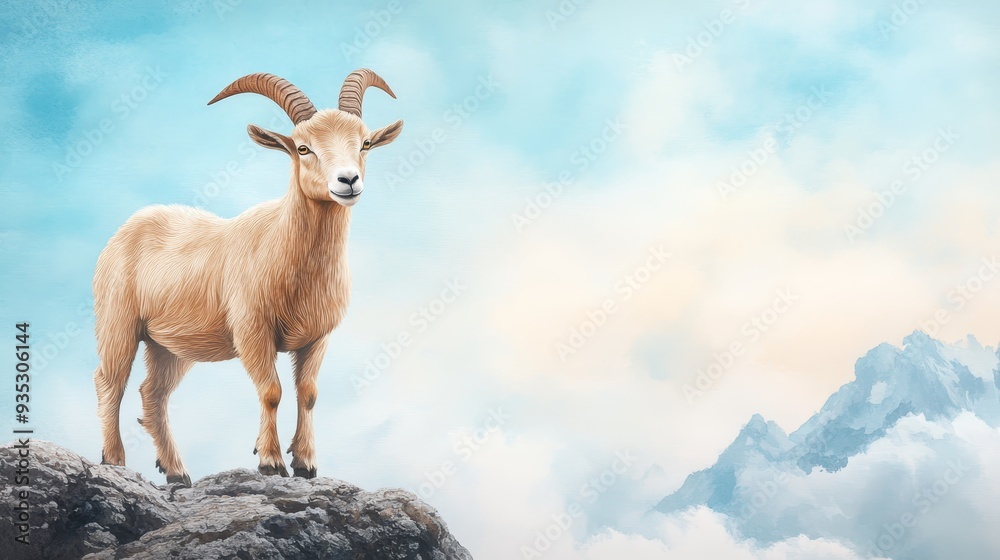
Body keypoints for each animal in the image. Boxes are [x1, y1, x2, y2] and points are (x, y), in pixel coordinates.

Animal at [93, 69, 403, 485]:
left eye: (365, 143)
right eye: (302, 148)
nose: (348, 180)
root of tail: (127, 227)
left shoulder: (316, 338)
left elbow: (308, 393)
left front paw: (305, 465)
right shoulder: (253, 331)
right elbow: (271, 391)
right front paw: (270, 461)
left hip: (168, 345)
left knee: (152, 392)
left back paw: (176, 472)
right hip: (118, 322)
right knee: (110, 382)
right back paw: (114, 461)